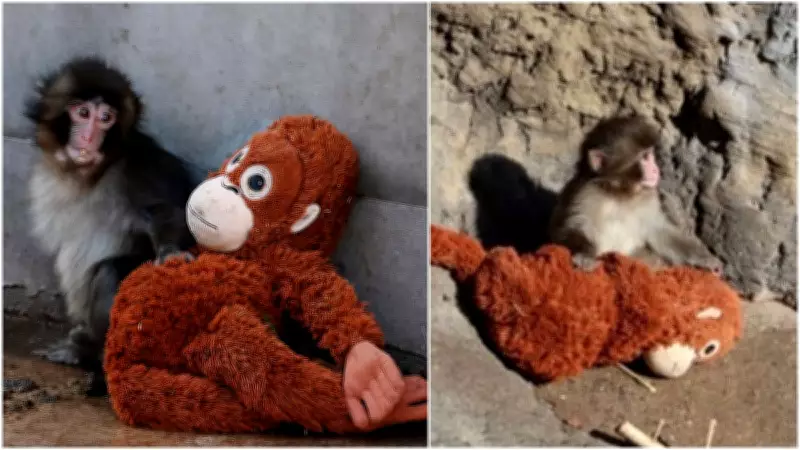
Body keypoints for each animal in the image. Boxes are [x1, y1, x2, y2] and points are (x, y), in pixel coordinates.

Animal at [24, 57, 198, 395]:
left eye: (106, 118)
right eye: (82, 113)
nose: (89, 137)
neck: (92, 173)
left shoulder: (141, 165)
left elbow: (168, 211)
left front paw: (171, 252)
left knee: (110, 271)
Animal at [548, 115, 722, 274]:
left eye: (650, 155)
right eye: (645, 157)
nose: (655, 169)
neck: (621, 193)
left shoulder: (648, 198)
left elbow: (660, 232)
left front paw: (705, 259)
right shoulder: (585, 194)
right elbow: (570, 229)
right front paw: (585, 255)